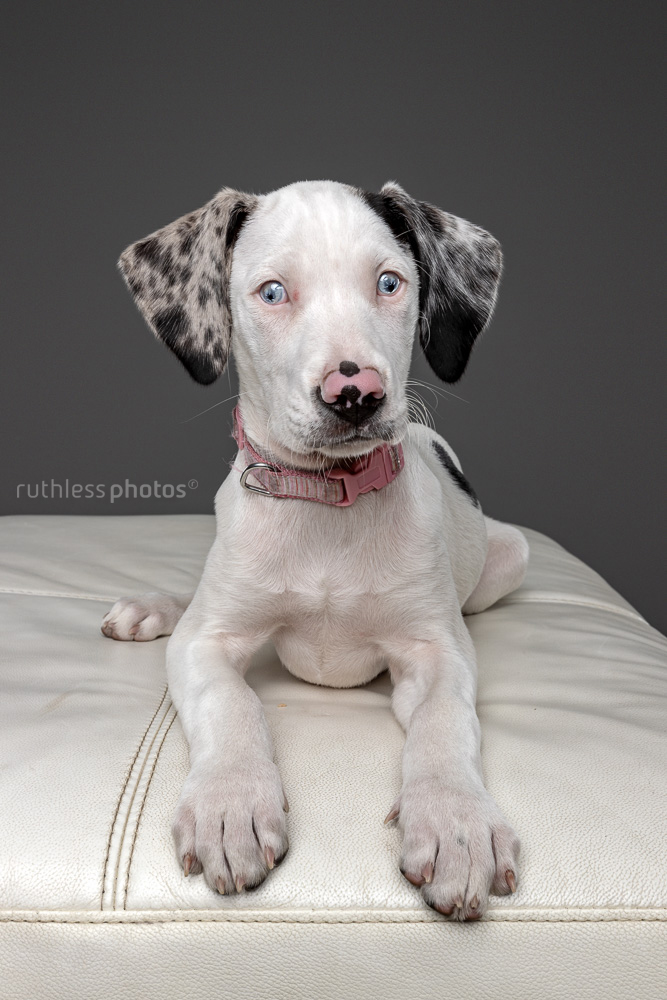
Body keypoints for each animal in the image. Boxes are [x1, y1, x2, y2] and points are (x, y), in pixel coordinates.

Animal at [102, 180, 529, 921]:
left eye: (389, 283)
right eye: (272, 292)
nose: (355, 394)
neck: (328, 503)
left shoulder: (437, 652)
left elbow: (445, 721)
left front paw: (456, 821)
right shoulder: (206, 643)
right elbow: (229, 700)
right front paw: (230, 802)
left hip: (512, 556)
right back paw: (151, 608)